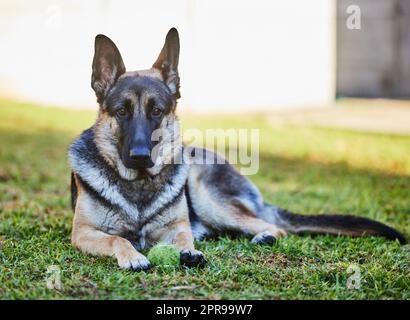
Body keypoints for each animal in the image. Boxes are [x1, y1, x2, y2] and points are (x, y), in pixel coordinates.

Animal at [69, 28, 406, 272]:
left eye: (156, 111)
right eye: (122, 112)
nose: (139, 155)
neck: (139, 185)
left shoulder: (177, 227)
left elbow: (183, 236)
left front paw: (188, 252)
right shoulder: (82, 233)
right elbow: (117, 240)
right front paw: (133, 255)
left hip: (207, 195)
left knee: (273, 227)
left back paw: (264, 235)